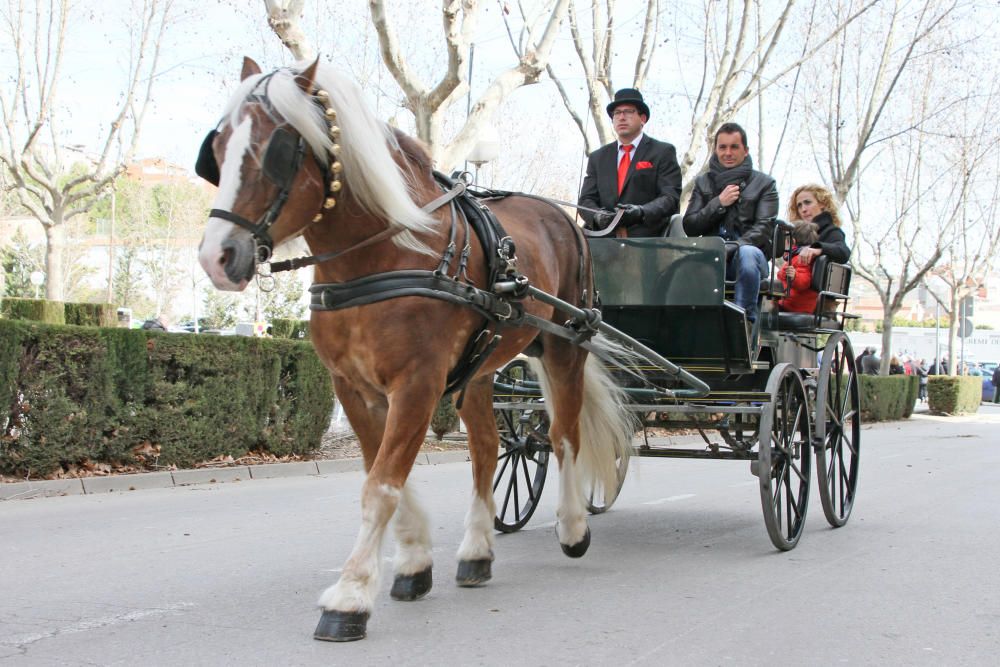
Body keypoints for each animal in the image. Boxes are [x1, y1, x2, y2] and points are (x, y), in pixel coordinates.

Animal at [196, 57, 632, 640]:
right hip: (480, 370)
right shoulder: (354, 388)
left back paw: (573, 527)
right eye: (219, 148)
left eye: (278, 149)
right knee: (488, 448)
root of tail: (567, 219)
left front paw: (350, 596)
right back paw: (476, 552)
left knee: (563, 438)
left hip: (565, 350)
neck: (386, 255)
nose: (217, 257)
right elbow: (382, 473)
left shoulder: (418, 385)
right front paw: (413, 562)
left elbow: (382, 484)